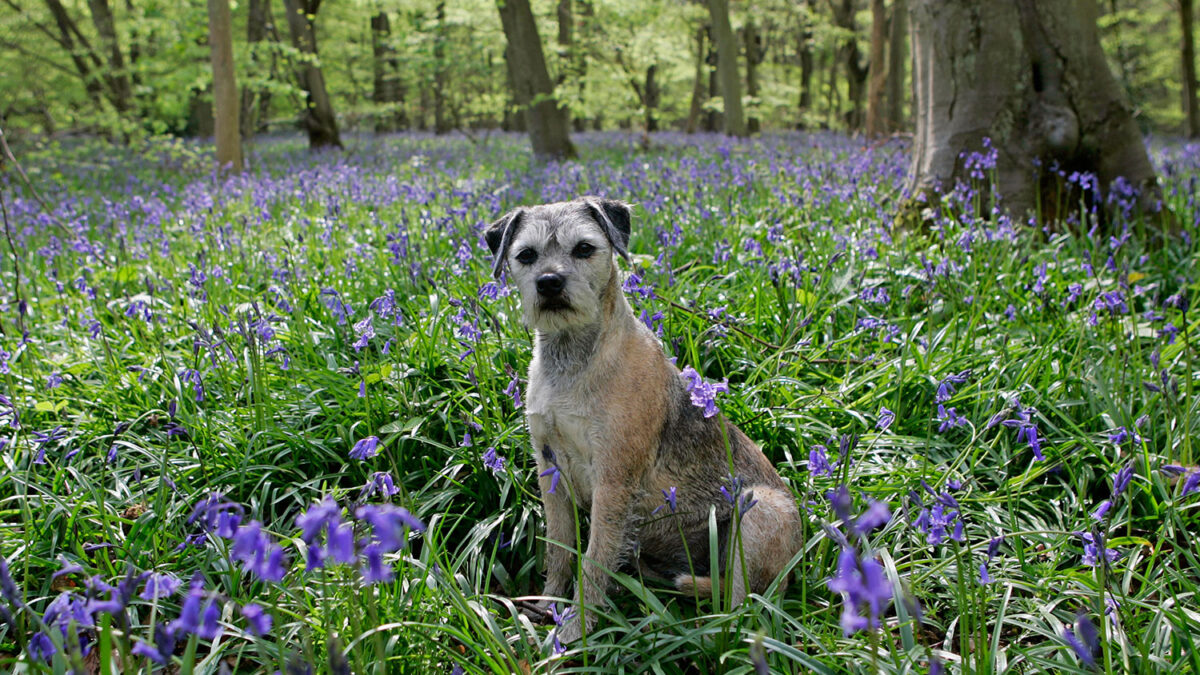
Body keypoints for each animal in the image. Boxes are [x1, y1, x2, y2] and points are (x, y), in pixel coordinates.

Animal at [482, 194, 801, 638]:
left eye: (584, 248)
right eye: (526, 255)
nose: (549, 282)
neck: (574, 359)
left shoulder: (613, 482)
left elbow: (594, 560)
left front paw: (573, 633)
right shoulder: (550, 470)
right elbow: (559, 550)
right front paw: (548, 605)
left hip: (757, 513)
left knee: (743, 603)